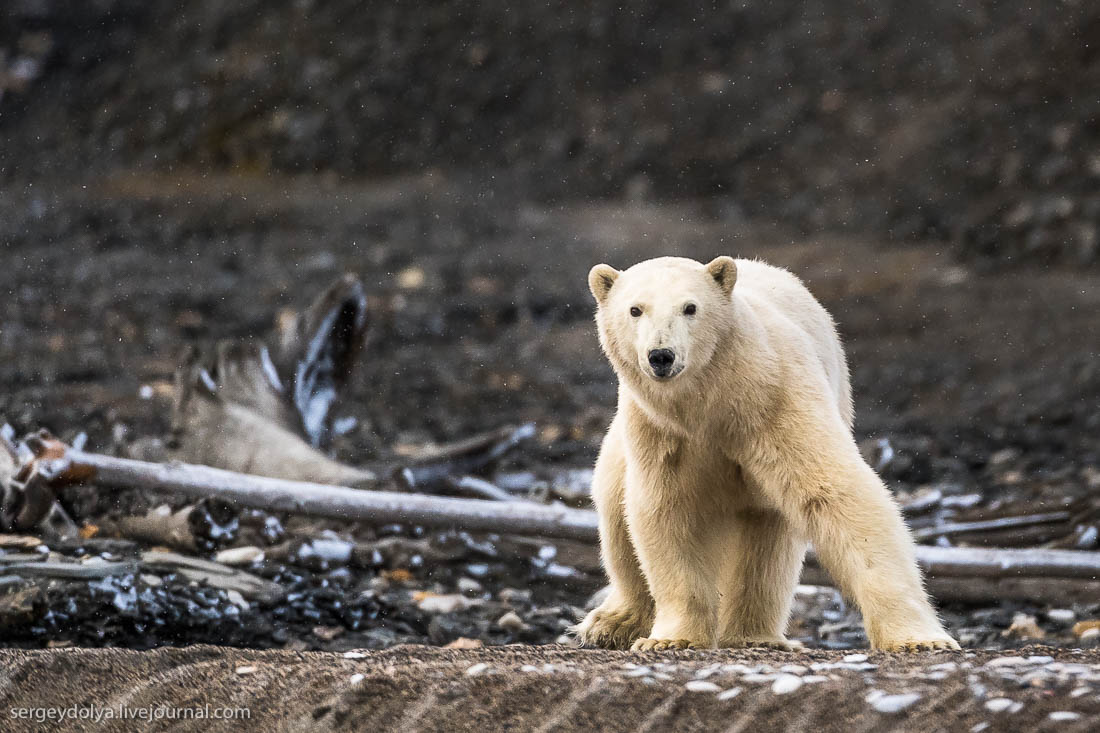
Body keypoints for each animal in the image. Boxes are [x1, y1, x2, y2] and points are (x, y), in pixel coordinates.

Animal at [572, 254, 959, 647]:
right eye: (635, 309)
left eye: (690, 307)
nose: (661, 355)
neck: (714, 401)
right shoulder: (661, 433)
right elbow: (666, 512)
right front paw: (670, 639)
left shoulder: (777, 401)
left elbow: (840, 496)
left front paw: (920, 639)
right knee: (614, 507)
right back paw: (610, 623)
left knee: (767, 544)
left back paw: (753, 635)